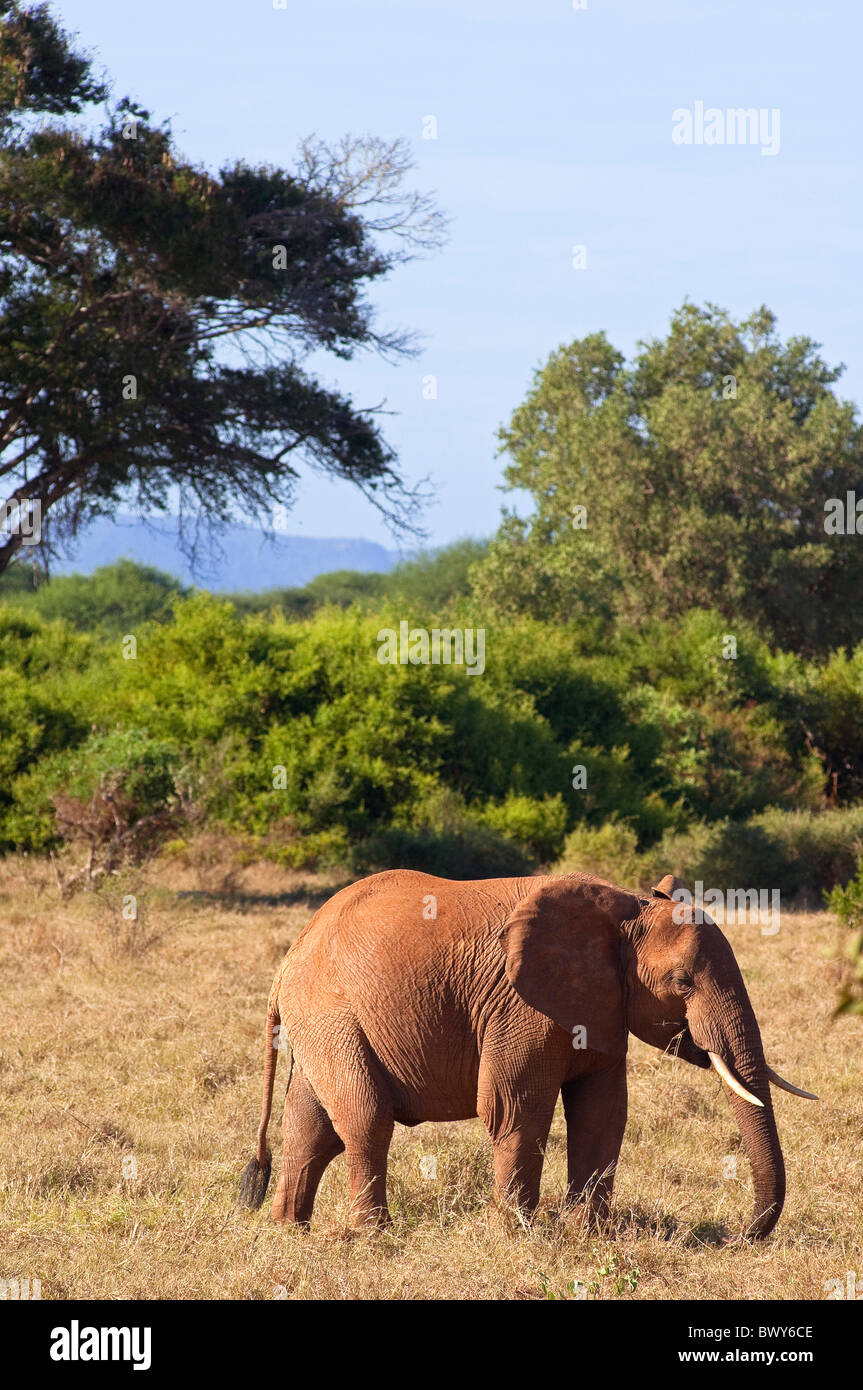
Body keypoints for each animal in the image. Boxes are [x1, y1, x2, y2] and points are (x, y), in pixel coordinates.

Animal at [237, 867, 817, 1239]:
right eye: (682, 983)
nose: (740, 1235)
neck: (625, 910)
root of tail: (289, 957)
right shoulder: (521, 1006)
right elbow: (516, 1109)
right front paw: (516, 1235)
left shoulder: (601, 1005)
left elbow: (603, 1113)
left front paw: (589, 1236)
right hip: (331, 1011)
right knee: (365, 1119)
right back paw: (374, 1237)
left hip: (323, 1019)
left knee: (309, 1126)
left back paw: (289, 1230)